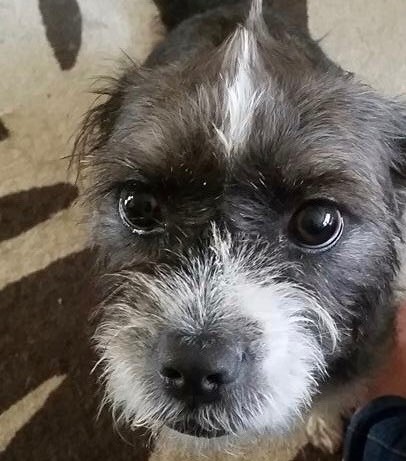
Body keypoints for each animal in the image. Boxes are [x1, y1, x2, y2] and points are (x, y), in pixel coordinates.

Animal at [75, 0, 406, 455]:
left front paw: (322, 419)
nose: (195, 368)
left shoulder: (366, 342)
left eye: (318, 222)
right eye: (138, 206)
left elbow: (337, 388)